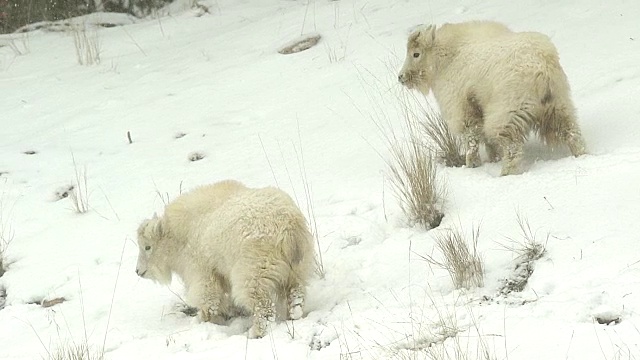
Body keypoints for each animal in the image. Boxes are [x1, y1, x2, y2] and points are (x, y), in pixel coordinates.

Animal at [136, 179, 316, 338]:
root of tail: (290, 228)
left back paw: (255, 332)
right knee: (296, 292)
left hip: (254, 268)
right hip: (299, 265)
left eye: (147, 246)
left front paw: (205, 318)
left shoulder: (201, 269)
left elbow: (208, 296)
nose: (138, 271)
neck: (178, 235)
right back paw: (293, 315)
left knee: (262, 304)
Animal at [398, 21, 588, 176]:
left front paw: (472, 164)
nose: (401, 77)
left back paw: (505, 174)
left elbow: (472, 138)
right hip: (559, 104)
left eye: (416, 54)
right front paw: (491, 158)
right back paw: (581, 154)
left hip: (508, 112)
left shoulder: (462, 106)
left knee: (512, 148)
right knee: (571, 132)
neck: (446, 57)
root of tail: (542, 69)